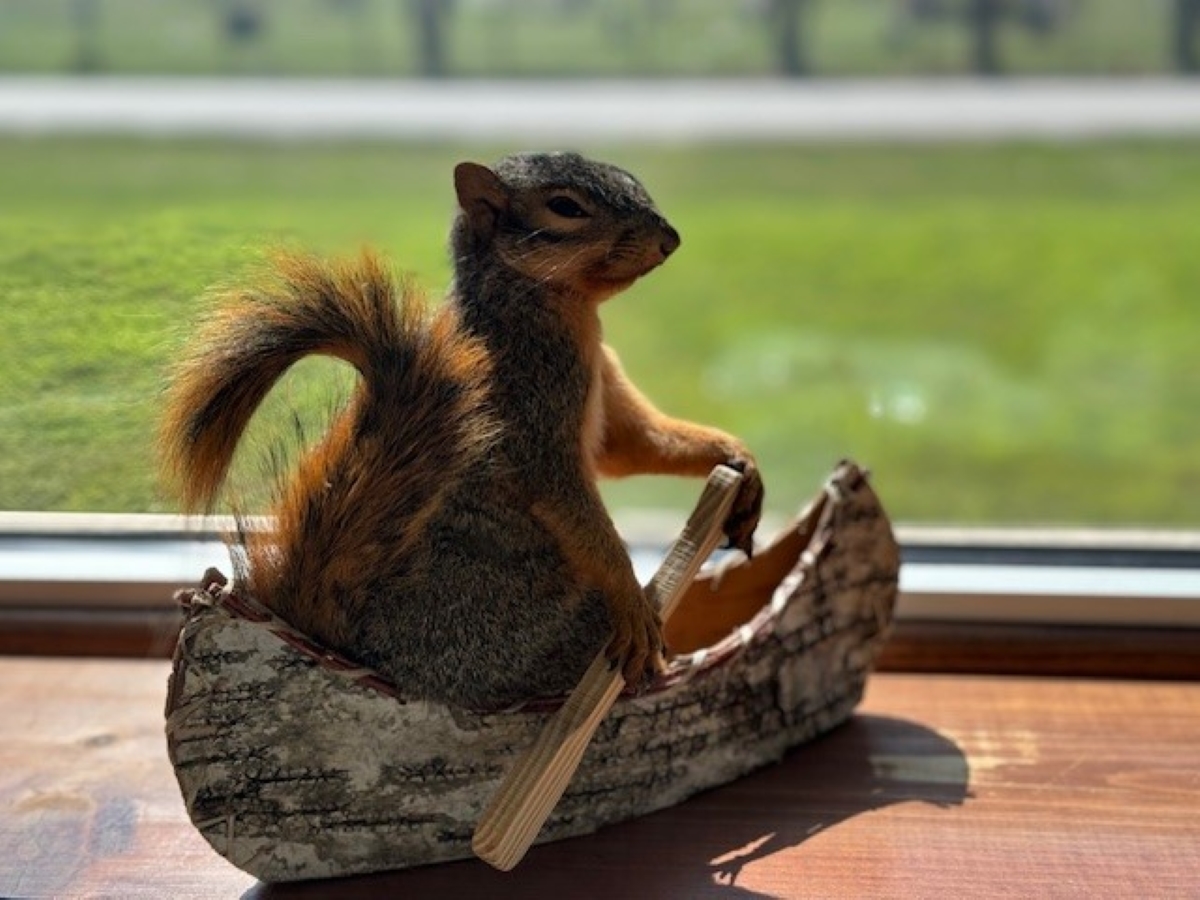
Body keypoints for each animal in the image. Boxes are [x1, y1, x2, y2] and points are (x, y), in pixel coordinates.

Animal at [159, 151, 763, 710]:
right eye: (565, 207)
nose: (669, 239)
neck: (552, 305)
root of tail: (359, 646)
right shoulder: (530, 394)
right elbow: (563, 487)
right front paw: (632, 599)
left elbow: (634, 443)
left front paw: (736, 459)